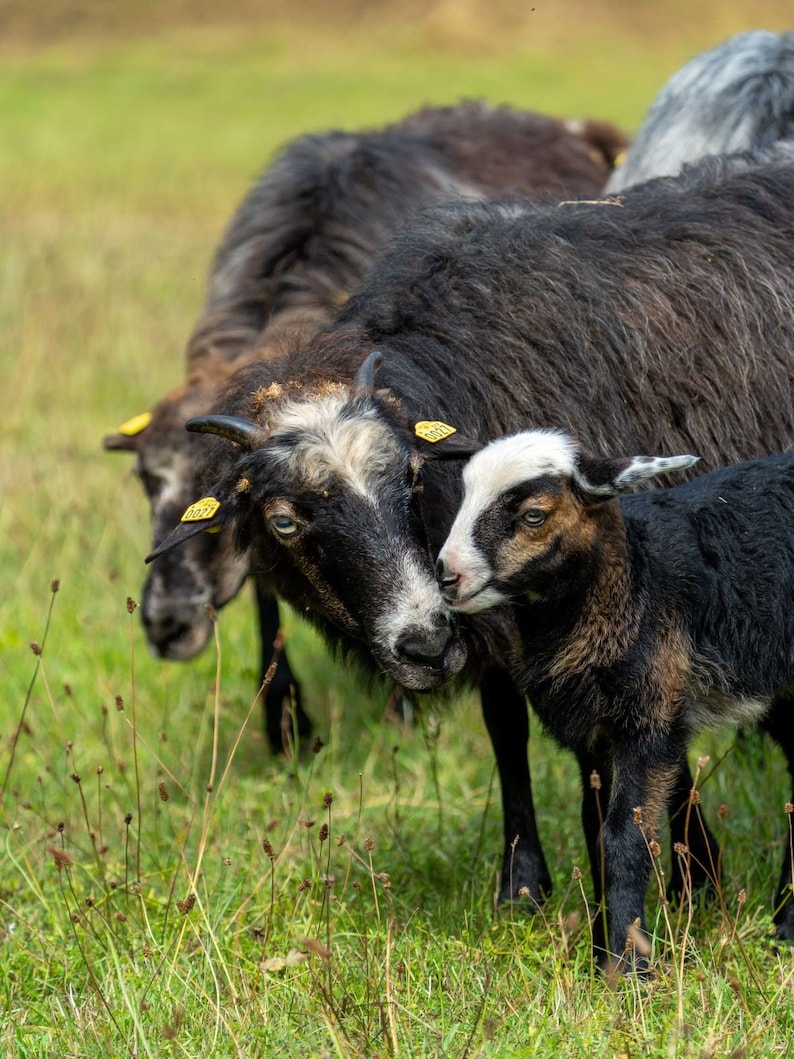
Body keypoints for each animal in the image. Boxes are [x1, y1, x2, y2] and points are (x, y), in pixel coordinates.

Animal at [438, 429, 794, 970]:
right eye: (463, 497)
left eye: (533, 516)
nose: (445, 575)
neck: (636, 581)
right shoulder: (593, 734)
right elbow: (594, 832)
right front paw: (600, 951)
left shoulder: (648, 722)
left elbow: (625, 836)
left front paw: (628, 968)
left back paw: (788, 924)